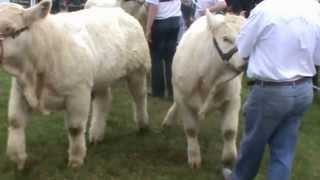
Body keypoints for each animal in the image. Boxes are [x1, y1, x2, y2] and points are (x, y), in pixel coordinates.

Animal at [0, 0, 150, 169]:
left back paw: (143, 125)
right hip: (101, 78)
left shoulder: (78, 92)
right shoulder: (19, 90)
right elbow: (15, 122)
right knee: (103, 101)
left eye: (8, 28)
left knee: (139, 96)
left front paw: (76, 160)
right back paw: (96, 135)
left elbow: (75, 128)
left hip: (138, 70)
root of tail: (120, 11)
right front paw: (17, 158)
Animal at [162, 11, 245, 170]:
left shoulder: (233, 99)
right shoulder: (183, 98)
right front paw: (194, 158)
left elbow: (230, 131)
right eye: (225, 38)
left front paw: (229, 159)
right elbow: (191, 129)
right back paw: (168, 121)